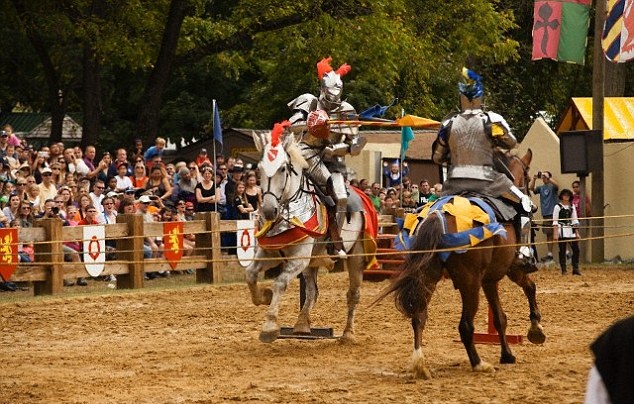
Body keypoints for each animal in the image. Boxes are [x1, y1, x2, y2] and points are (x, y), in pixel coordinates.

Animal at [243, 124, 372, 342]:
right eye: (259, 169)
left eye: (283, 168)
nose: (268, 210)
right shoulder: (270, 253)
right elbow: (250, 275)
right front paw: (264, 296)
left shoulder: (299, 258)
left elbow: (280, 283)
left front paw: (269, 327)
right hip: (312, 262)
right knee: (313, 291)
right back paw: (302, 324)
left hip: (356, 254)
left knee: (353, 294)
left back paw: (348, 334)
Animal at [376, 148, 544, 378]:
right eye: (527, 176)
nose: (533, 205)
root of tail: (437, 216)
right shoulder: (511, 271)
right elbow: (530, 287)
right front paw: (535, 329)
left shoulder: (489, 280)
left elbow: (499, 318)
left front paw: (507, 354)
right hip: (469, 284)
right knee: (465, 325)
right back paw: (478, 364)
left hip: (427, 279)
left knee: (418, 318)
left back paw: (420, 363)